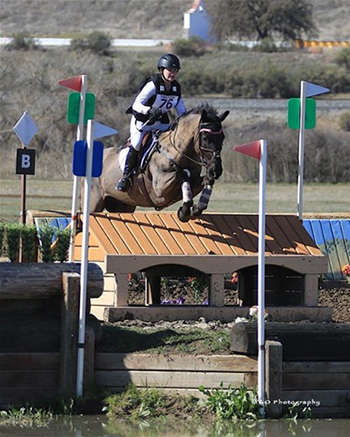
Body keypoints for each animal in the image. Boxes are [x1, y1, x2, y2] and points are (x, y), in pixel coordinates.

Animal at [88, 104, 230, 221]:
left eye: (222, 137)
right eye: (205, 138)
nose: (216, 170)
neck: (178, 150)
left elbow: (205, 180)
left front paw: (195, 209)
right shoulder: (160, 190)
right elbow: (183, 175)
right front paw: (185, 211)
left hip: (123, 205)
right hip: (94, 203)